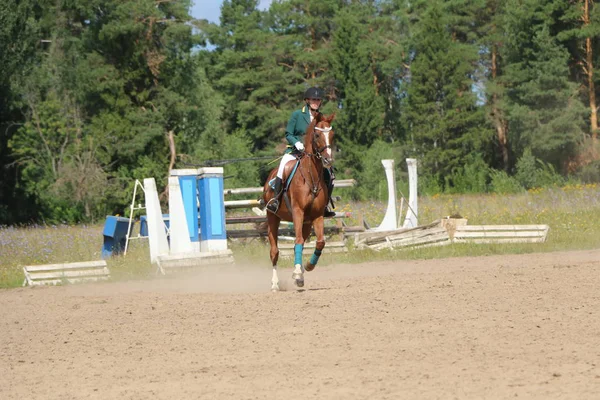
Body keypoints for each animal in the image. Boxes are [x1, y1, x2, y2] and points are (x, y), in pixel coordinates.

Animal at [262, 112, 338, 290]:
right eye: (317, 135)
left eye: (332, 135)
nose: (328, 161)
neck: (311, 176)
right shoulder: (298, 212)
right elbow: (297, 240)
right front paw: (297, 272)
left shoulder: (316, 216)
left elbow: (320, 242)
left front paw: (308, 267)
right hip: (273, 217)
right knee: (274, 252)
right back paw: (275, 284)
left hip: (307, 223)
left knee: (302, 245)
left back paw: (301, 273)